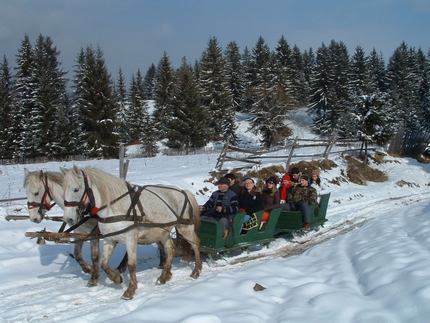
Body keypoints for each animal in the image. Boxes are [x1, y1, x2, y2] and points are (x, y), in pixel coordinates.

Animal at [61, 167, 202, 302]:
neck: (115, 207)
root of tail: (183, 191)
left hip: (184, 227)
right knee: (171, 249)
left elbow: (131, 264)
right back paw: (164, 276)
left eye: (76, 189)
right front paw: (117, 278)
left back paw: (196, 271)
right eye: (63, 190)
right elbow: (103, 263)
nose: (68, 219)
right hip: (163, 231)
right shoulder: (110, 239)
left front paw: (130, 291)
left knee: (195, 244)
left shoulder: (130, 239)